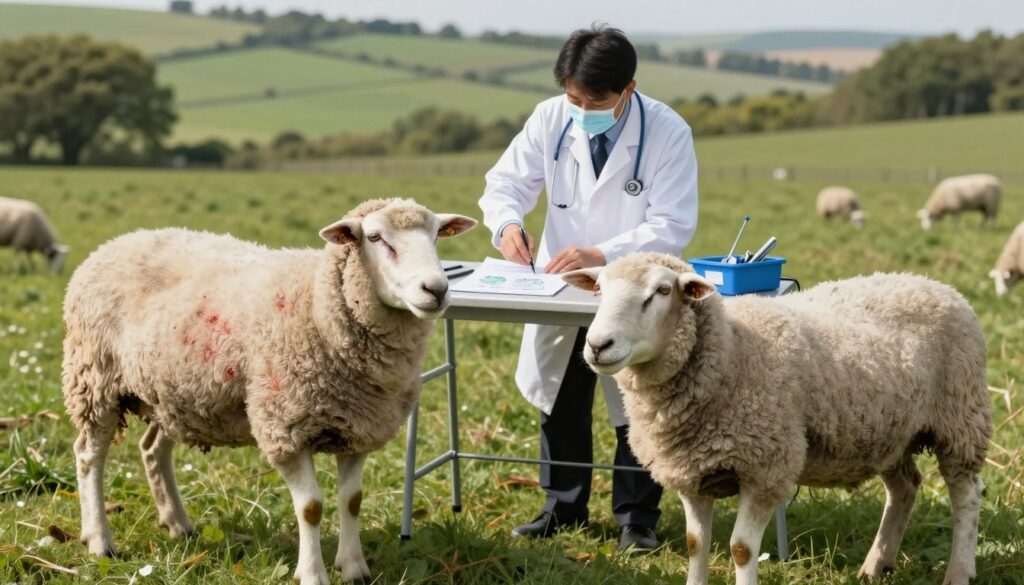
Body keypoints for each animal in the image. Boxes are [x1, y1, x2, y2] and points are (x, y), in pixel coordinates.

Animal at [61, 198, 476, 585]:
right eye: (374, 237)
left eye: (437, 235)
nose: (436, 290)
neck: (317, 306)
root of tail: (117, 242)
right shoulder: (285, 427)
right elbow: (311, 508)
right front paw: (312, 573)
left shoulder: (358, 427)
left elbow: (352, 501)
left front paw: (354, 567)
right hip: (95, 380)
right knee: (88, 457)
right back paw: (99, 540)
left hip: (173, 394)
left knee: (152, 449)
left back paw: (178, 525)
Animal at [562, 253, 991, 585]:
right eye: (599, 290)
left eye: (662, 291)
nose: (597, 345)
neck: (732, 352)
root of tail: (932, 283)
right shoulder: (691, 472)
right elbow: (695, 545)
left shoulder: (765, 470)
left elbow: (740, 549)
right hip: (888, 431)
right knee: (904, 488)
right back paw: (876, 564)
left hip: (960, 418)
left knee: (967, 496)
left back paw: (958, 571)